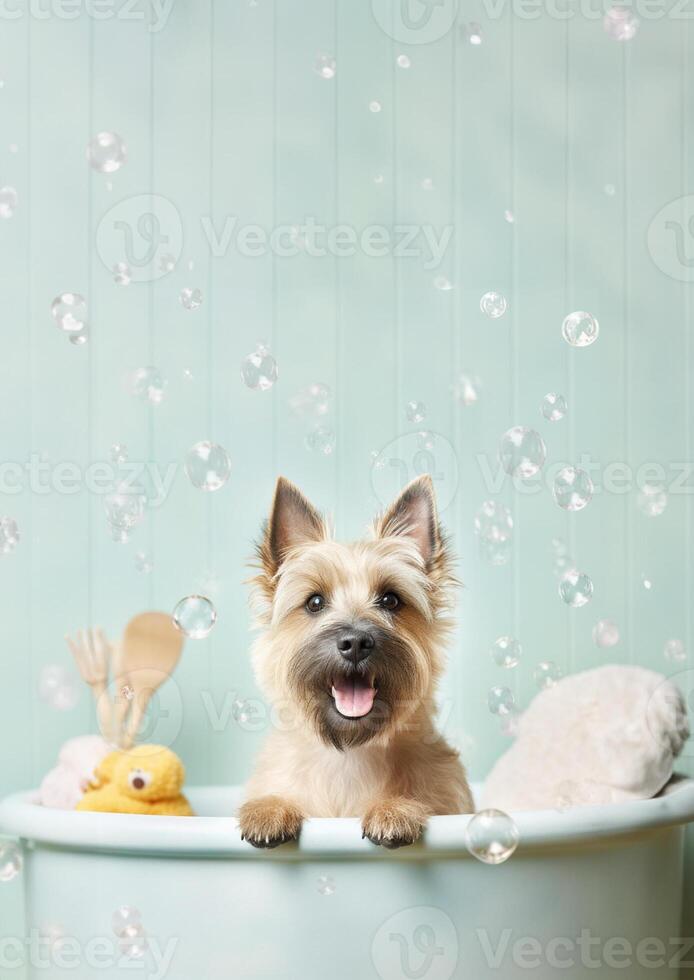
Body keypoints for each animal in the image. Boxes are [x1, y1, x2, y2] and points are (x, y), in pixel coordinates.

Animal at [238, 474, 474, 848]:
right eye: (314, 602)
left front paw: (395, 809)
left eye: (391, 600)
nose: (355, 643)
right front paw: (270, 809)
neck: (349, 756)